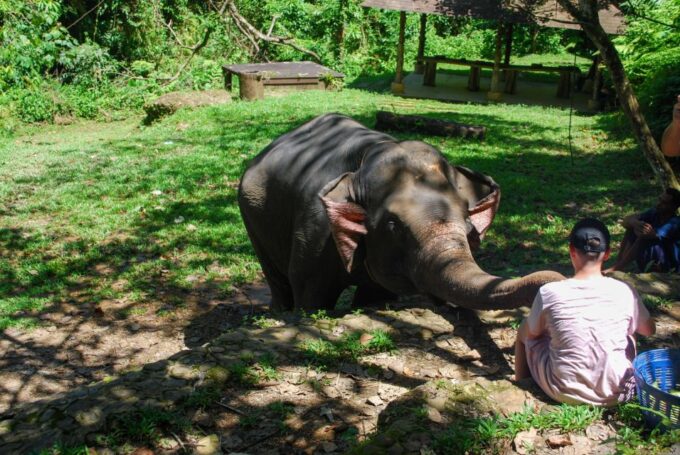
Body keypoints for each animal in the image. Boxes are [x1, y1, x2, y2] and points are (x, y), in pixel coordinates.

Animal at [238, 113, 563, 312]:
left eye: (468, 222)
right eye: (394, 226)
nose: (557, 277)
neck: (374, 153)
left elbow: (377, 295)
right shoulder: (315, 230)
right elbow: (311, 296)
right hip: (250, 210)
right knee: (277, 278)